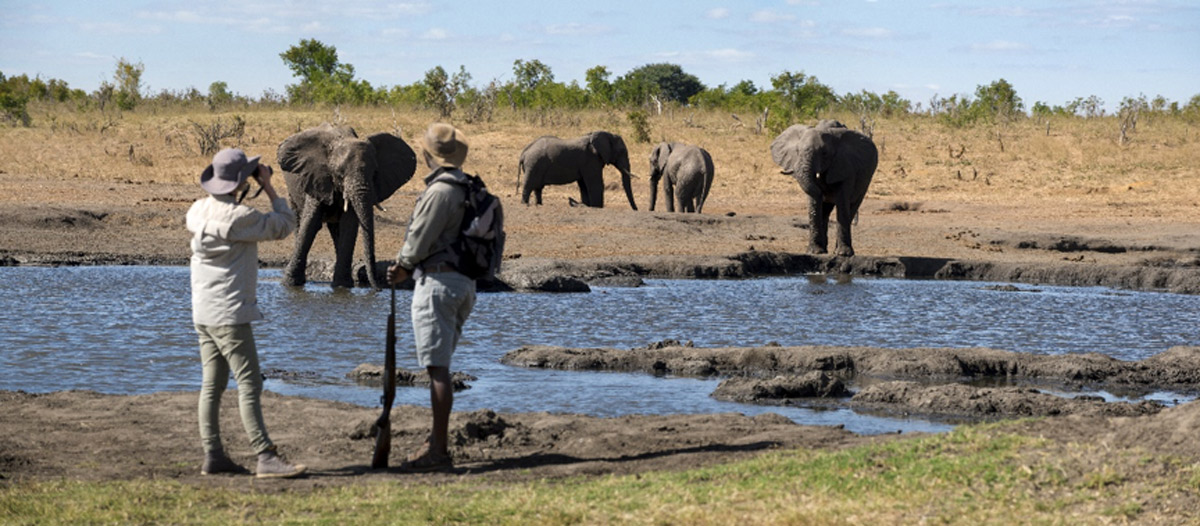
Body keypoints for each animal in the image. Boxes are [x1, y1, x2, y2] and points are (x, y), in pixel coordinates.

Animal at [277, 123, 416, 289]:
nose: (378, 288)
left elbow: (348, 225)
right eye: (340, 174)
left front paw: (342, 286)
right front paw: (289, 284)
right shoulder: (317, 178)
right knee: (300, 221)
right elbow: (310, 223)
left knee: (336, 229)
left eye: (375, 173)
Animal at [770, 119, 877, 257]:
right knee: (825, 212)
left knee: (852, 207)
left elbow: (842, 202)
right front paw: (814, 252)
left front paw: (843, 254)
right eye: (797, 151)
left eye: (824, 153)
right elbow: (814, 201)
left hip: (866, 181)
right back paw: (824, 250)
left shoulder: (845, 166)